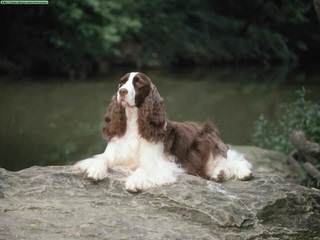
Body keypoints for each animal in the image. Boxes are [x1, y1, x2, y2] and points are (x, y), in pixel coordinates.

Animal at [74, 71, 251, 191]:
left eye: (138, 83)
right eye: (121, 83)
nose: (122, 91)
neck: (133, 124)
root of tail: (207, 126)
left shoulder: (163, 163)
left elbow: (145, 167)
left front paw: (135, 181)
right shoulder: (114, 153)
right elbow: (101, 159)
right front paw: (95, 170)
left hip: (210, 146)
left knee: (232, 158)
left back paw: (243, 172)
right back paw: (219, 174)